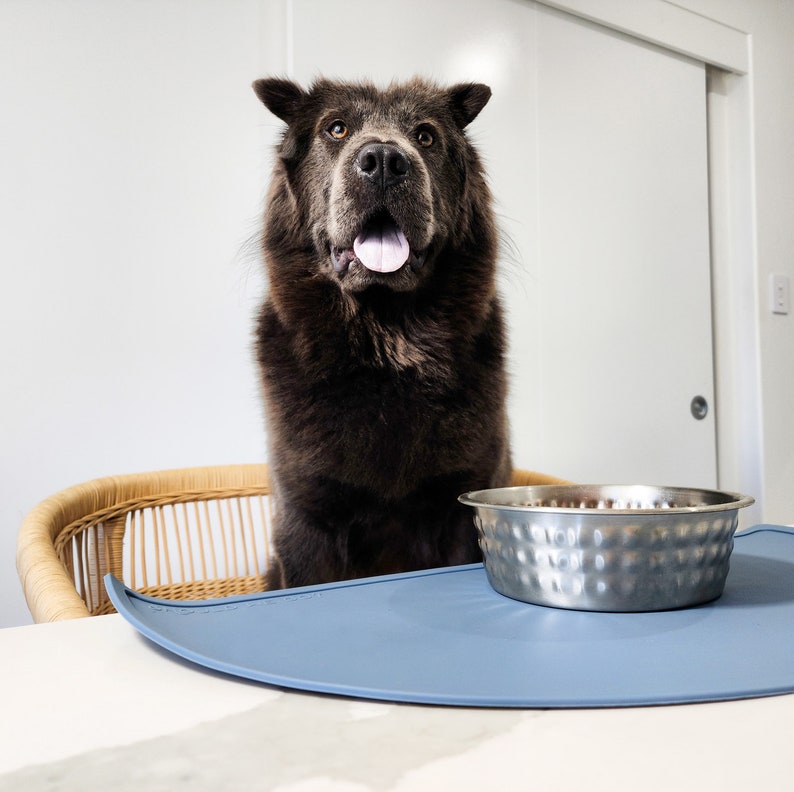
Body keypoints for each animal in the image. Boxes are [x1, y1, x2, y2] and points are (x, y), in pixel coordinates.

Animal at [254, 79, 512, 588]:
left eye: (426, 136)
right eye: (336, 129)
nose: (385, 161)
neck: (386, 346)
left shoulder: (464, 505)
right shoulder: (305, 517)